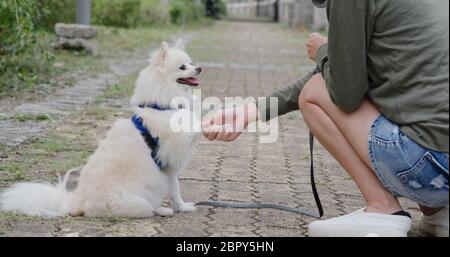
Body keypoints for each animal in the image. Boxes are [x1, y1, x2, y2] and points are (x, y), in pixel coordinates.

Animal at [0, 39, 203, 216]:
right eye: (183, 67)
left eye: (191, 63)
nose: (199, 68)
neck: (160, 105)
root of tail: (76, 202)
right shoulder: (174, 150)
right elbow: (195, 130)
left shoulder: (169, 168)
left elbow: (175, 187)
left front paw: (182, 207)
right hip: (133, 200)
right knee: (146, 207)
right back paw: (162, 210)